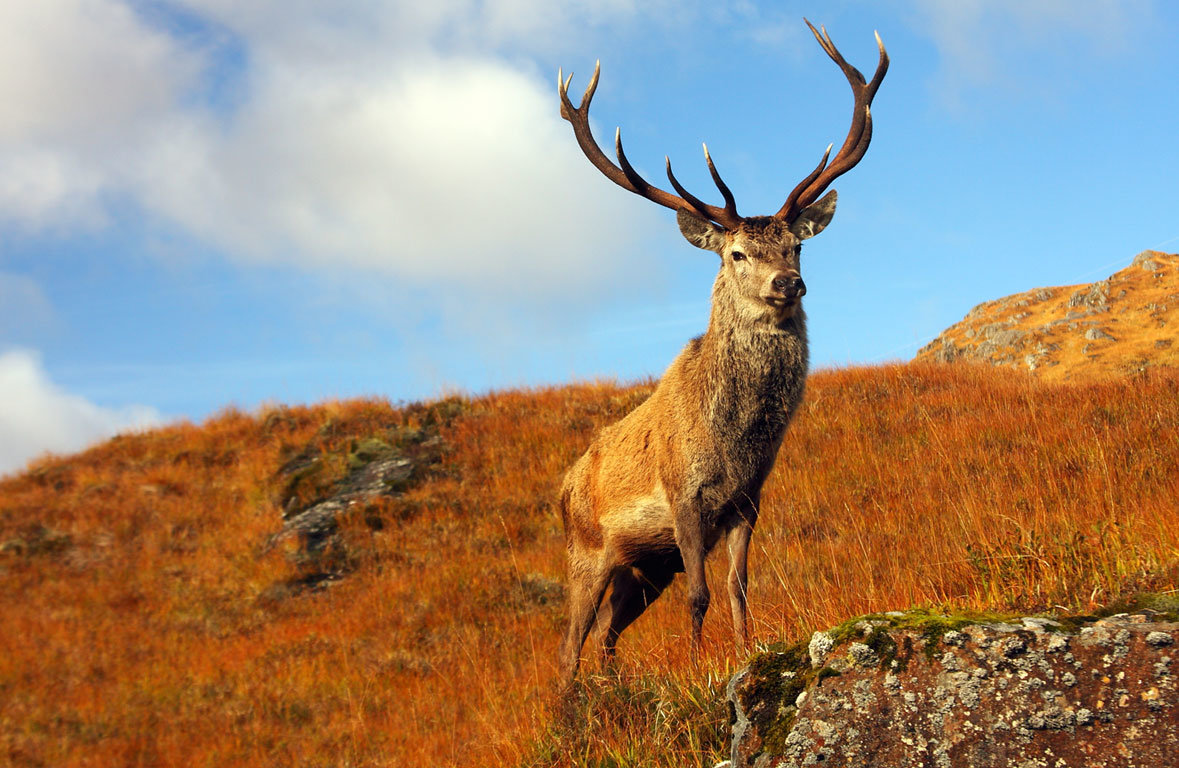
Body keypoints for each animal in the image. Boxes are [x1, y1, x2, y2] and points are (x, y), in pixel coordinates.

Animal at [555, 21, 888, 684]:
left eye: (796, 245)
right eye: (736, 253)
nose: (789, 283)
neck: (734, 444)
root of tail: (560, 488)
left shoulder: (746, 502)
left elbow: (737, 586)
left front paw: (746, 654)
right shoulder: (684, 499)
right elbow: (700, 594)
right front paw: (695, 668)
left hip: (642, 568)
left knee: (606, 633)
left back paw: (608, 689)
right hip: (588, 553)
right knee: (570, 641)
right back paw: (568, 700)